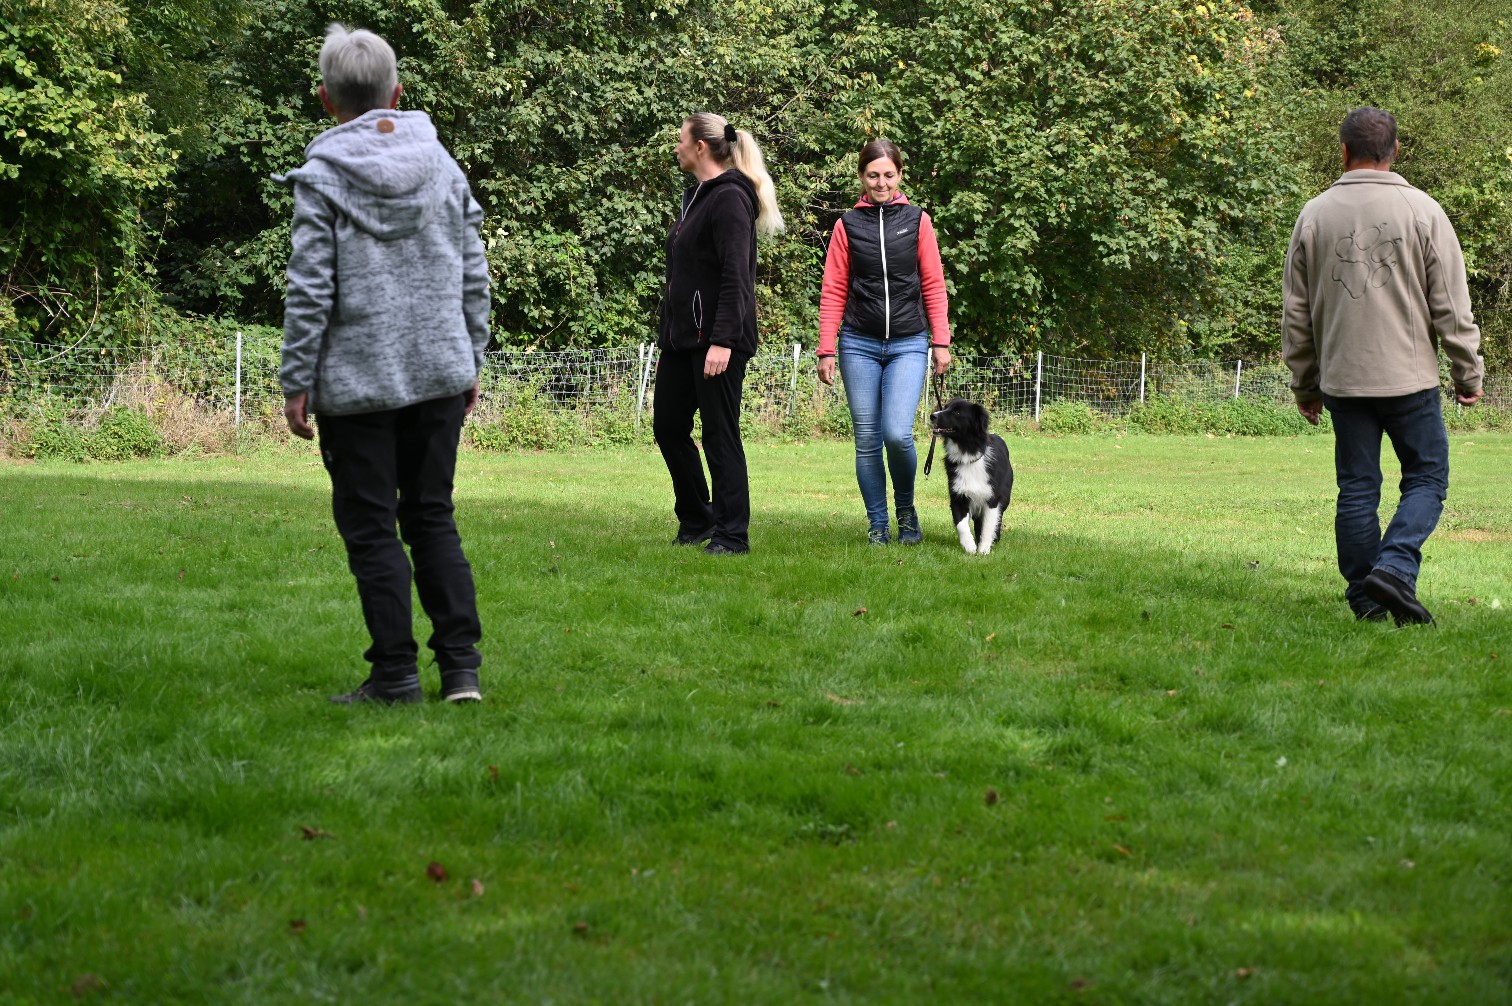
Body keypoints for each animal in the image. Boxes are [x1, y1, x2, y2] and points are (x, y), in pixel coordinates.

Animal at [930, 397, 1013, 555]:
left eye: (957, 412)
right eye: (945, 407)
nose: (933, 416)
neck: (967, 455)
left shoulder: (992, 499)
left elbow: (988, 525)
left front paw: (984, 549)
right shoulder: (958, 496)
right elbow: (961, 524)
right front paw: (969, 546)